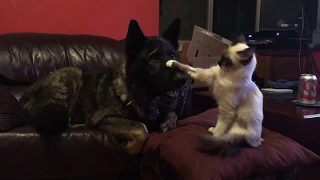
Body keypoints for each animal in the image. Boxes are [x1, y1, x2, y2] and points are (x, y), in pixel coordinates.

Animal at [20, 19, 189, 155]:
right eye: (153, 58)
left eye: (173, 56)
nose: (184, 79)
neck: (142, 94)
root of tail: (25, 95)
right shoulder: (103, 117)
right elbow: (141, 127)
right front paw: (131, 147)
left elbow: (172, 113)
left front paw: (168, 123)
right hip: (73, 73)